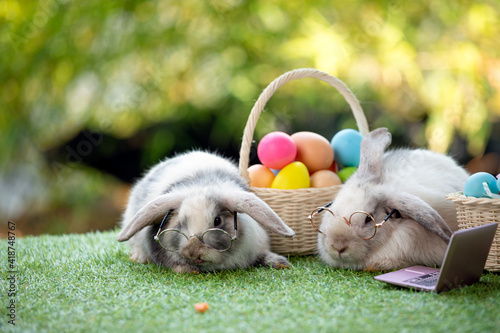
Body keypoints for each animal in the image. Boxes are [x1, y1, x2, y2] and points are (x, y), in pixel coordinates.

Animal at [117, 150, 294, 272]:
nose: (193, 252)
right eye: (180, 223)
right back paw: (139, 258)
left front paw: (281, 263)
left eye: (217, 221)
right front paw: (187, 270)